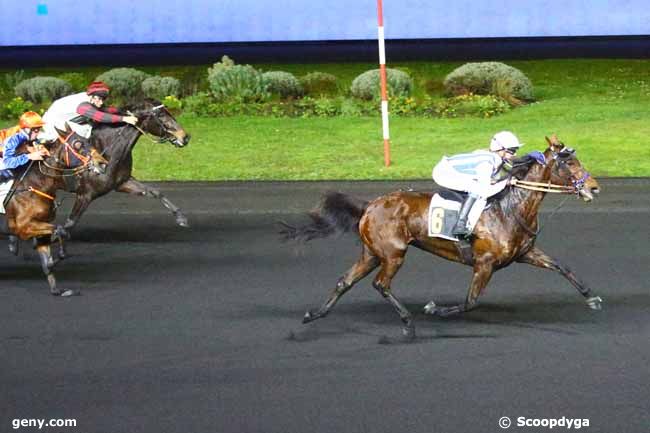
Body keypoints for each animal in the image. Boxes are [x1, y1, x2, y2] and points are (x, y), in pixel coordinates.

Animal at [0, 123, 106, 296]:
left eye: (88, 141)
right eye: (78, 144)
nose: (102, 163)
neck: (36, 184)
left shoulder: (39, 227)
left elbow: (48, 259)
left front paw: (57, 289)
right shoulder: (23, 227)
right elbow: (60, 230)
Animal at [280, 137, 600, 340]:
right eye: (570, 163)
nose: (594, 187)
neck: (511, 208)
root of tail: (370, 205)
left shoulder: (525, 253)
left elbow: (562, 266)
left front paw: (592, 298)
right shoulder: (484, 264)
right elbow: (470, 302)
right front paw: (434, 309)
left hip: (371, 254)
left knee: (344, 281)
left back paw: (314, 314)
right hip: (393, 254)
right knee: (380, 284)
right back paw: (408, 323)